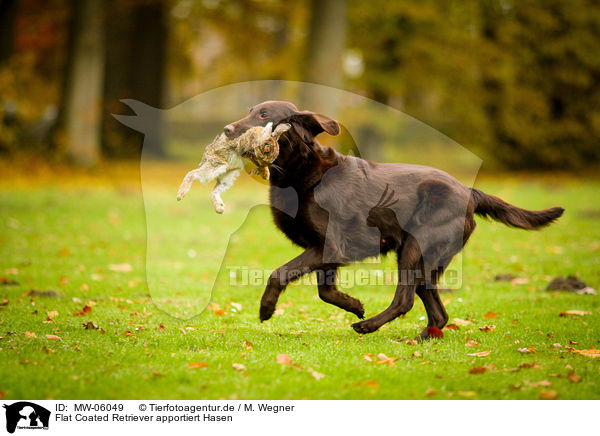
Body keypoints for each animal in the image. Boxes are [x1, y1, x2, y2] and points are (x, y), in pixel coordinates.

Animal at [223, 100, 564, 338]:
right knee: (437, 312)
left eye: (264, 116)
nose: (226, 130)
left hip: (414, 247)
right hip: (426, 262)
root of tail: (469, 191)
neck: (300, 172)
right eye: (250, 111)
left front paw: (266, 308)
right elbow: (325, 291)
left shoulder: (330, 246)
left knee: (405, 300)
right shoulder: (326, 253)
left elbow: (279, 273)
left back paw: (370, 327)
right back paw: (424, 336)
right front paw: (354, 304)